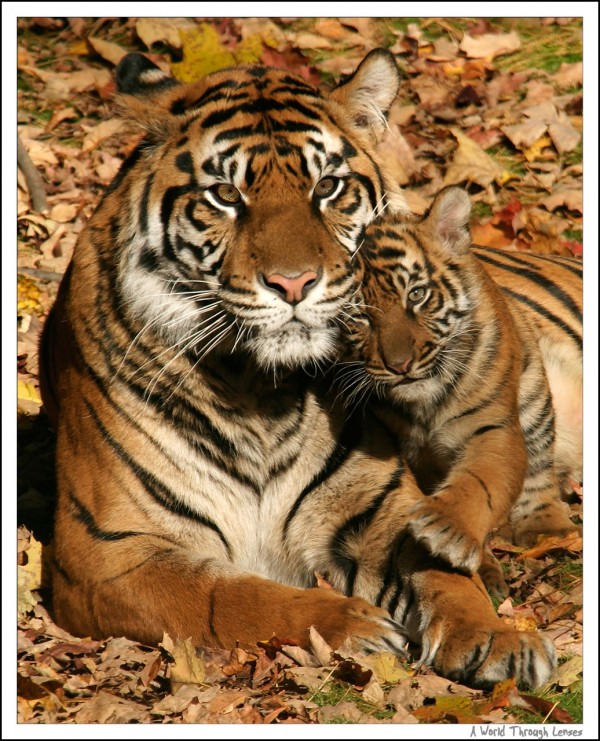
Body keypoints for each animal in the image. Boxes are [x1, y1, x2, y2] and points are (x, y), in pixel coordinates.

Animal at [37, 56, 552, 688]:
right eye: (225, 195)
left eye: (327, 187)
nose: (294, 283)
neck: (259, 388)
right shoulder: (108, 552)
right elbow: (232, 597)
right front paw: (354, 624)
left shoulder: (381, 508)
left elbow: (444, 578)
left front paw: (498, 638)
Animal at [342, 186, 580, 580]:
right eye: (359, 316)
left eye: (417, 295)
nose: (400, 365)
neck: (425, 404)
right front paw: (480, 567)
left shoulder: (493, 426)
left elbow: (481, 482)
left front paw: (446, 529)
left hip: (534, 394)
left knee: (539, 467)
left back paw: (548, 528)